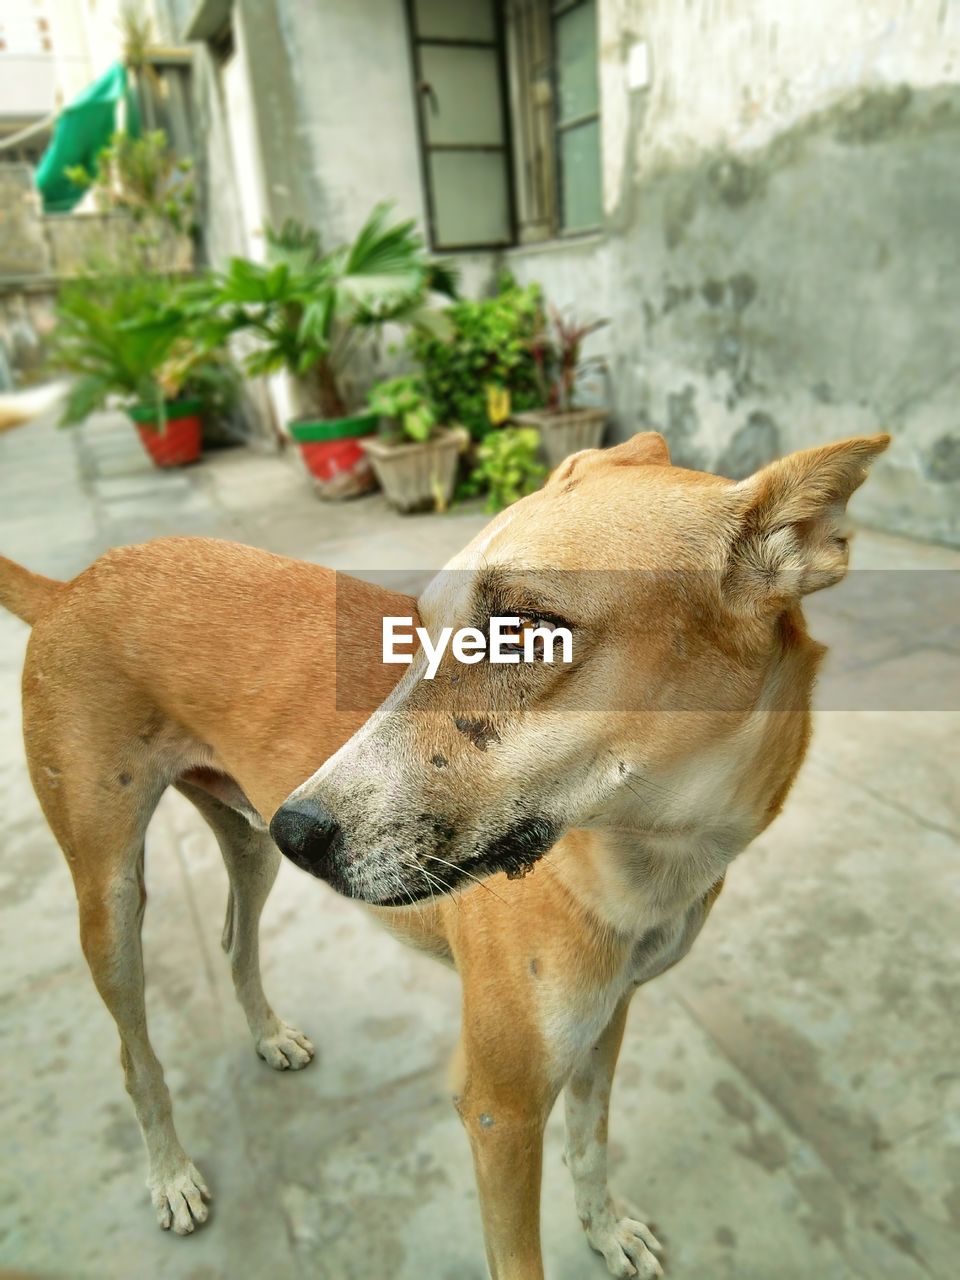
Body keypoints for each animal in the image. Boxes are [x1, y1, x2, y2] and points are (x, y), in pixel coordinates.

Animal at [0, 432, 885, 1280]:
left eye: (525, 630)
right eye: (418, 627)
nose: (300, 830)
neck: (647, 858)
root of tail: (71, 585)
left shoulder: (604, 1025)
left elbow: (590, 1146)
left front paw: (605, 1232)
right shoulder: (499, 1110)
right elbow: (520, 1252)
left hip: (246, 844)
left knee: (234, 939)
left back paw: (268, 1033)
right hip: (114, 895)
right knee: (133, 1054)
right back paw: (172, 1175)